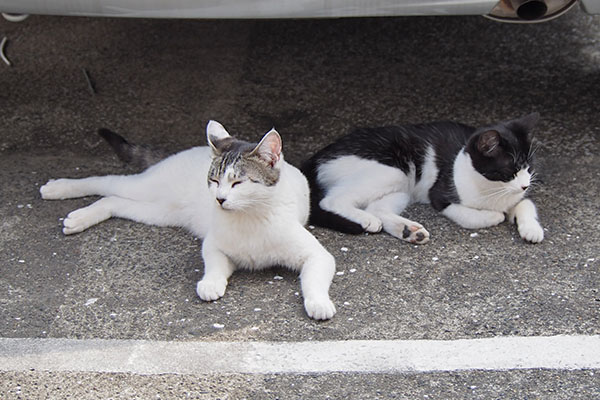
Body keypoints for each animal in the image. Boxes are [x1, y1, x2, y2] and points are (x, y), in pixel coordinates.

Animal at [39, 120, 338, 320]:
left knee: (113, 200)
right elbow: (213, 263)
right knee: (106, 182)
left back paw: (78, 217)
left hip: (158, 212)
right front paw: (211, 283)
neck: (249, 216)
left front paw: (319, 302)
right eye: (214, 180)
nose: (219, 199)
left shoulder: (318, 255)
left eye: (238, 182)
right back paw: (58, 189)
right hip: (147, 189)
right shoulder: (213, 244)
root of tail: (185, 151)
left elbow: (314, 277)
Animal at [300, 112, 544, 244]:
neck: (492, 189)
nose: (525, 185)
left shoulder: (517, 196)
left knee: (376, 207)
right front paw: (495, 215)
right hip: (394, 170)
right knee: (331, 200)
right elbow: (472, 216)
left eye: (529, 167)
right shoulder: (440, 195)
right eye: (511, 169)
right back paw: (367, 220)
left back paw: (408, 231)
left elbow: (526, 204)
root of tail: (315, 158)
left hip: (402, 186)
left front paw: (532, 229)